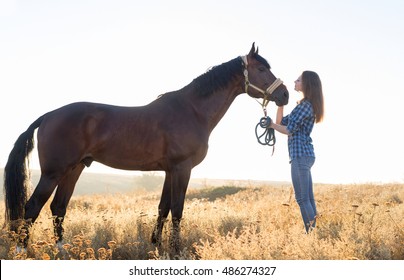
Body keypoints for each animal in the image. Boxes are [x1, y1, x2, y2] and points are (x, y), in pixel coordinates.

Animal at [2, 43, 288, 252]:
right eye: (261, 69)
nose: (284, 94)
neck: (192, 110)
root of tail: (48, 115)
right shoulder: (182, 169)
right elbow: (177, 210)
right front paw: (175, 250)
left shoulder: (170, 171)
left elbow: (163, 208)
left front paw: (156, 245)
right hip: (53, 172)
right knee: (33, 207)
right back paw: (22, 250)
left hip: (74, 169)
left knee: (58, 207)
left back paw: (62, 249)